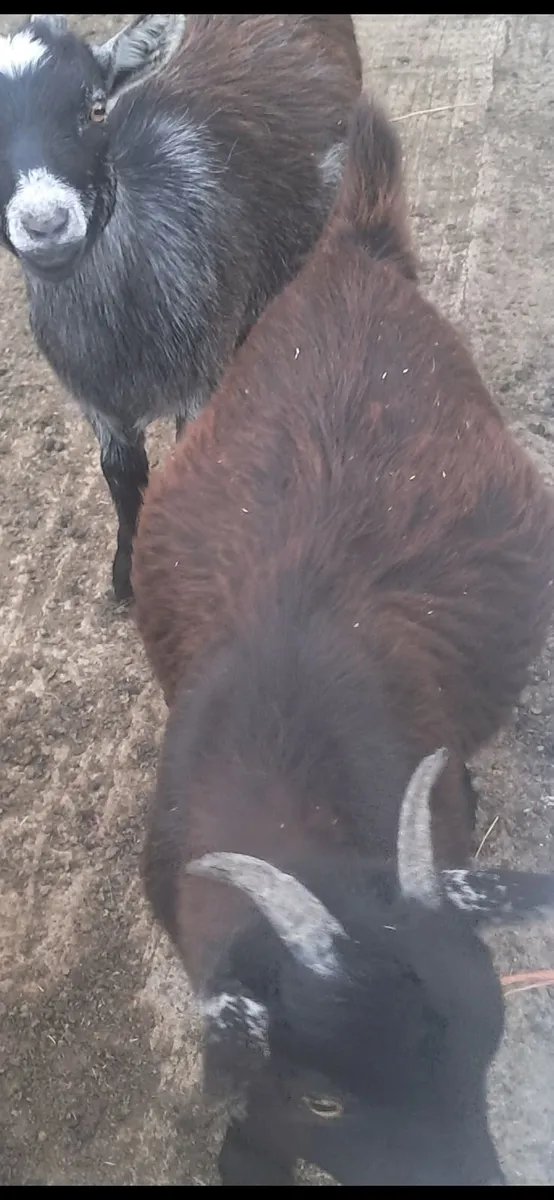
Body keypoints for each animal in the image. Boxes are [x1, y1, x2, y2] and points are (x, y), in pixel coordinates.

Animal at [0, 13, 362, 601]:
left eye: (96, 109)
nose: (46, 224)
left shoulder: (198, 381)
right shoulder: (98, 405)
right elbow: (122, 478)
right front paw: (126, 572)